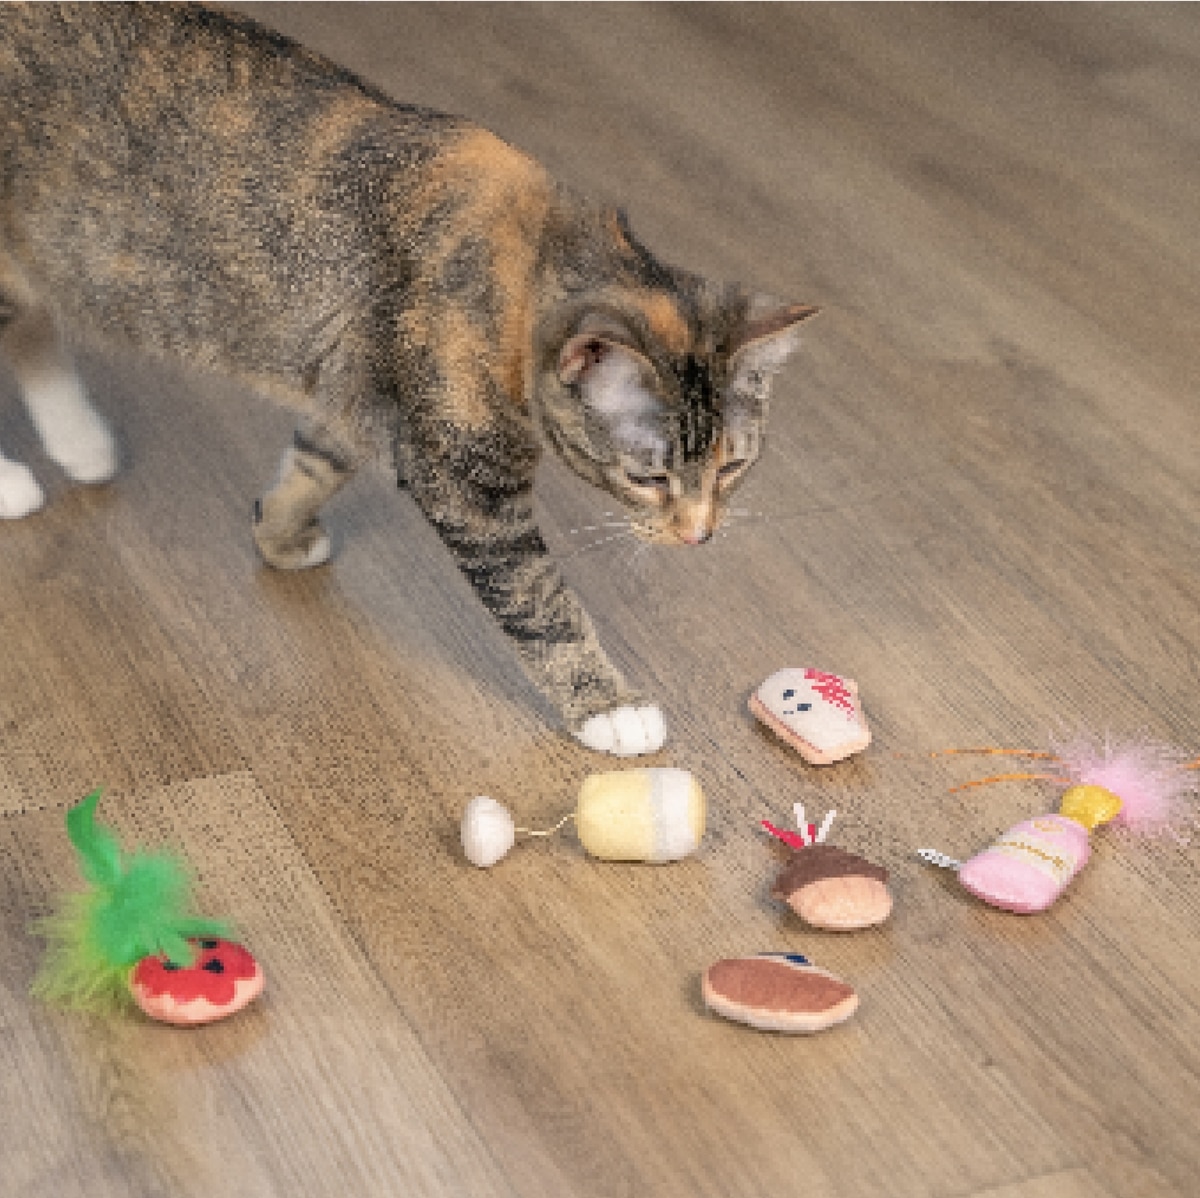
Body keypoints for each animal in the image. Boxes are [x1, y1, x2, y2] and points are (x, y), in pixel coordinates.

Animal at [0, 3, 816, 756]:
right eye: (648, 478)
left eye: (732, 468)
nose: (699, 535)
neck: (528, 269)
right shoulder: (463, 480)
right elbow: (539, 598)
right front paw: (610, 706)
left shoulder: (357, 388)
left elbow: (314, 463)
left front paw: (277, 532)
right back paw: (15, 481)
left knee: (31, 331)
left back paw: (81, 442)